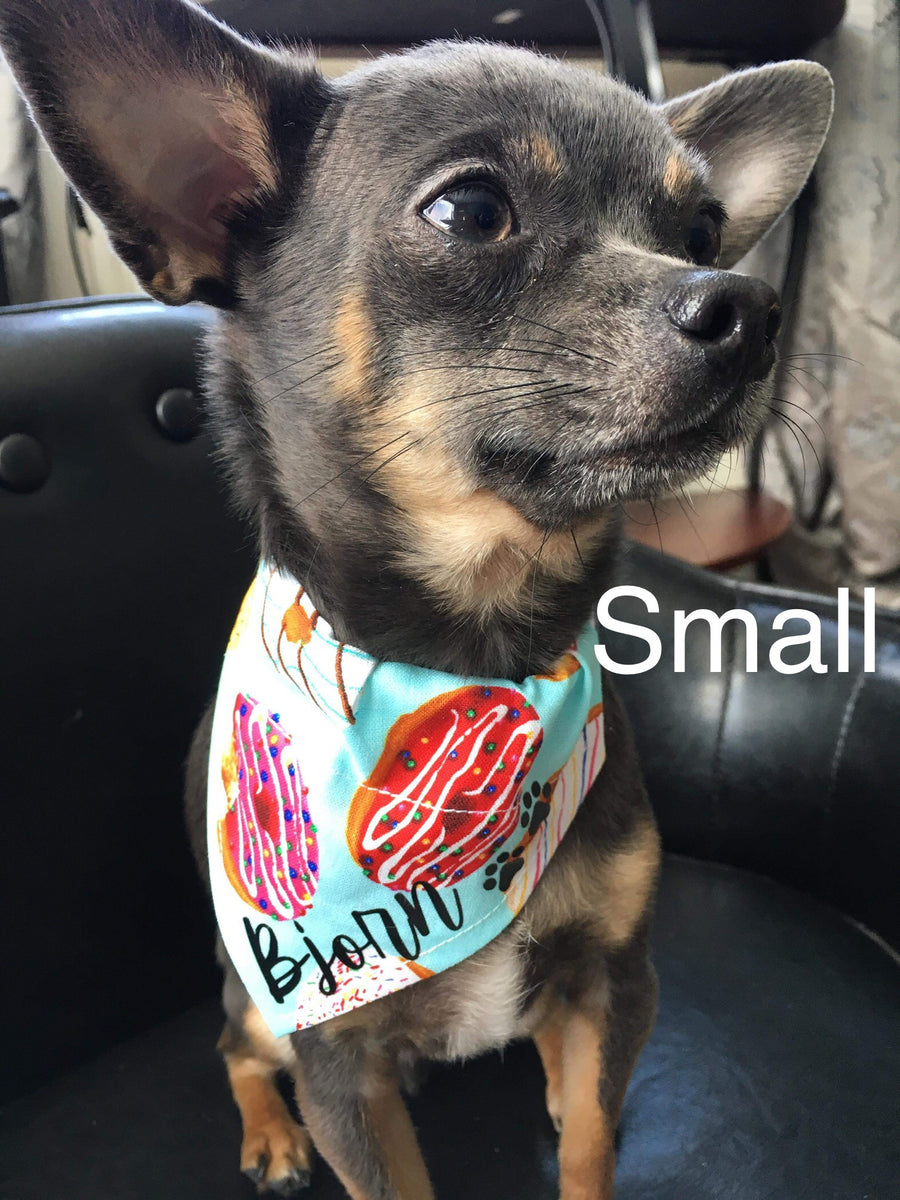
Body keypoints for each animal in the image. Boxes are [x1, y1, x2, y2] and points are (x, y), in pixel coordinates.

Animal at [0, 4, 830, 1195]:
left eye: (706, 230)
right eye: (472, 210)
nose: (749, 307)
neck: (474, 659)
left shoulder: (620, 975)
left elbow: (589, 1142)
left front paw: (584, 1119)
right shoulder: (336, 1059)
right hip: (258, 1002)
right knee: (231, 1047)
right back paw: (270, 1138)